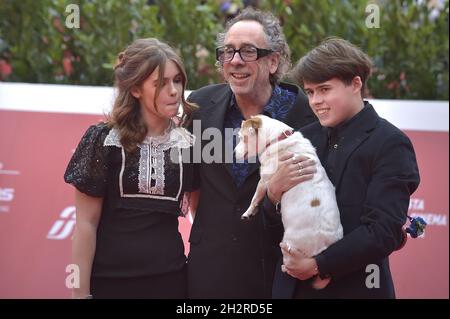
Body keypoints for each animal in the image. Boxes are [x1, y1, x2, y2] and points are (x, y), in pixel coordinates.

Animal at [234, 115, 342, 290]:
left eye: (242, 138)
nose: (233, 153)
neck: (277, 138)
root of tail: (322, 249)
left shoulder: (264, 181)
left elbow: (255, 197)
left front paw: (248, 211)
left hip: (288, 247)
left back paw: (285, 268)